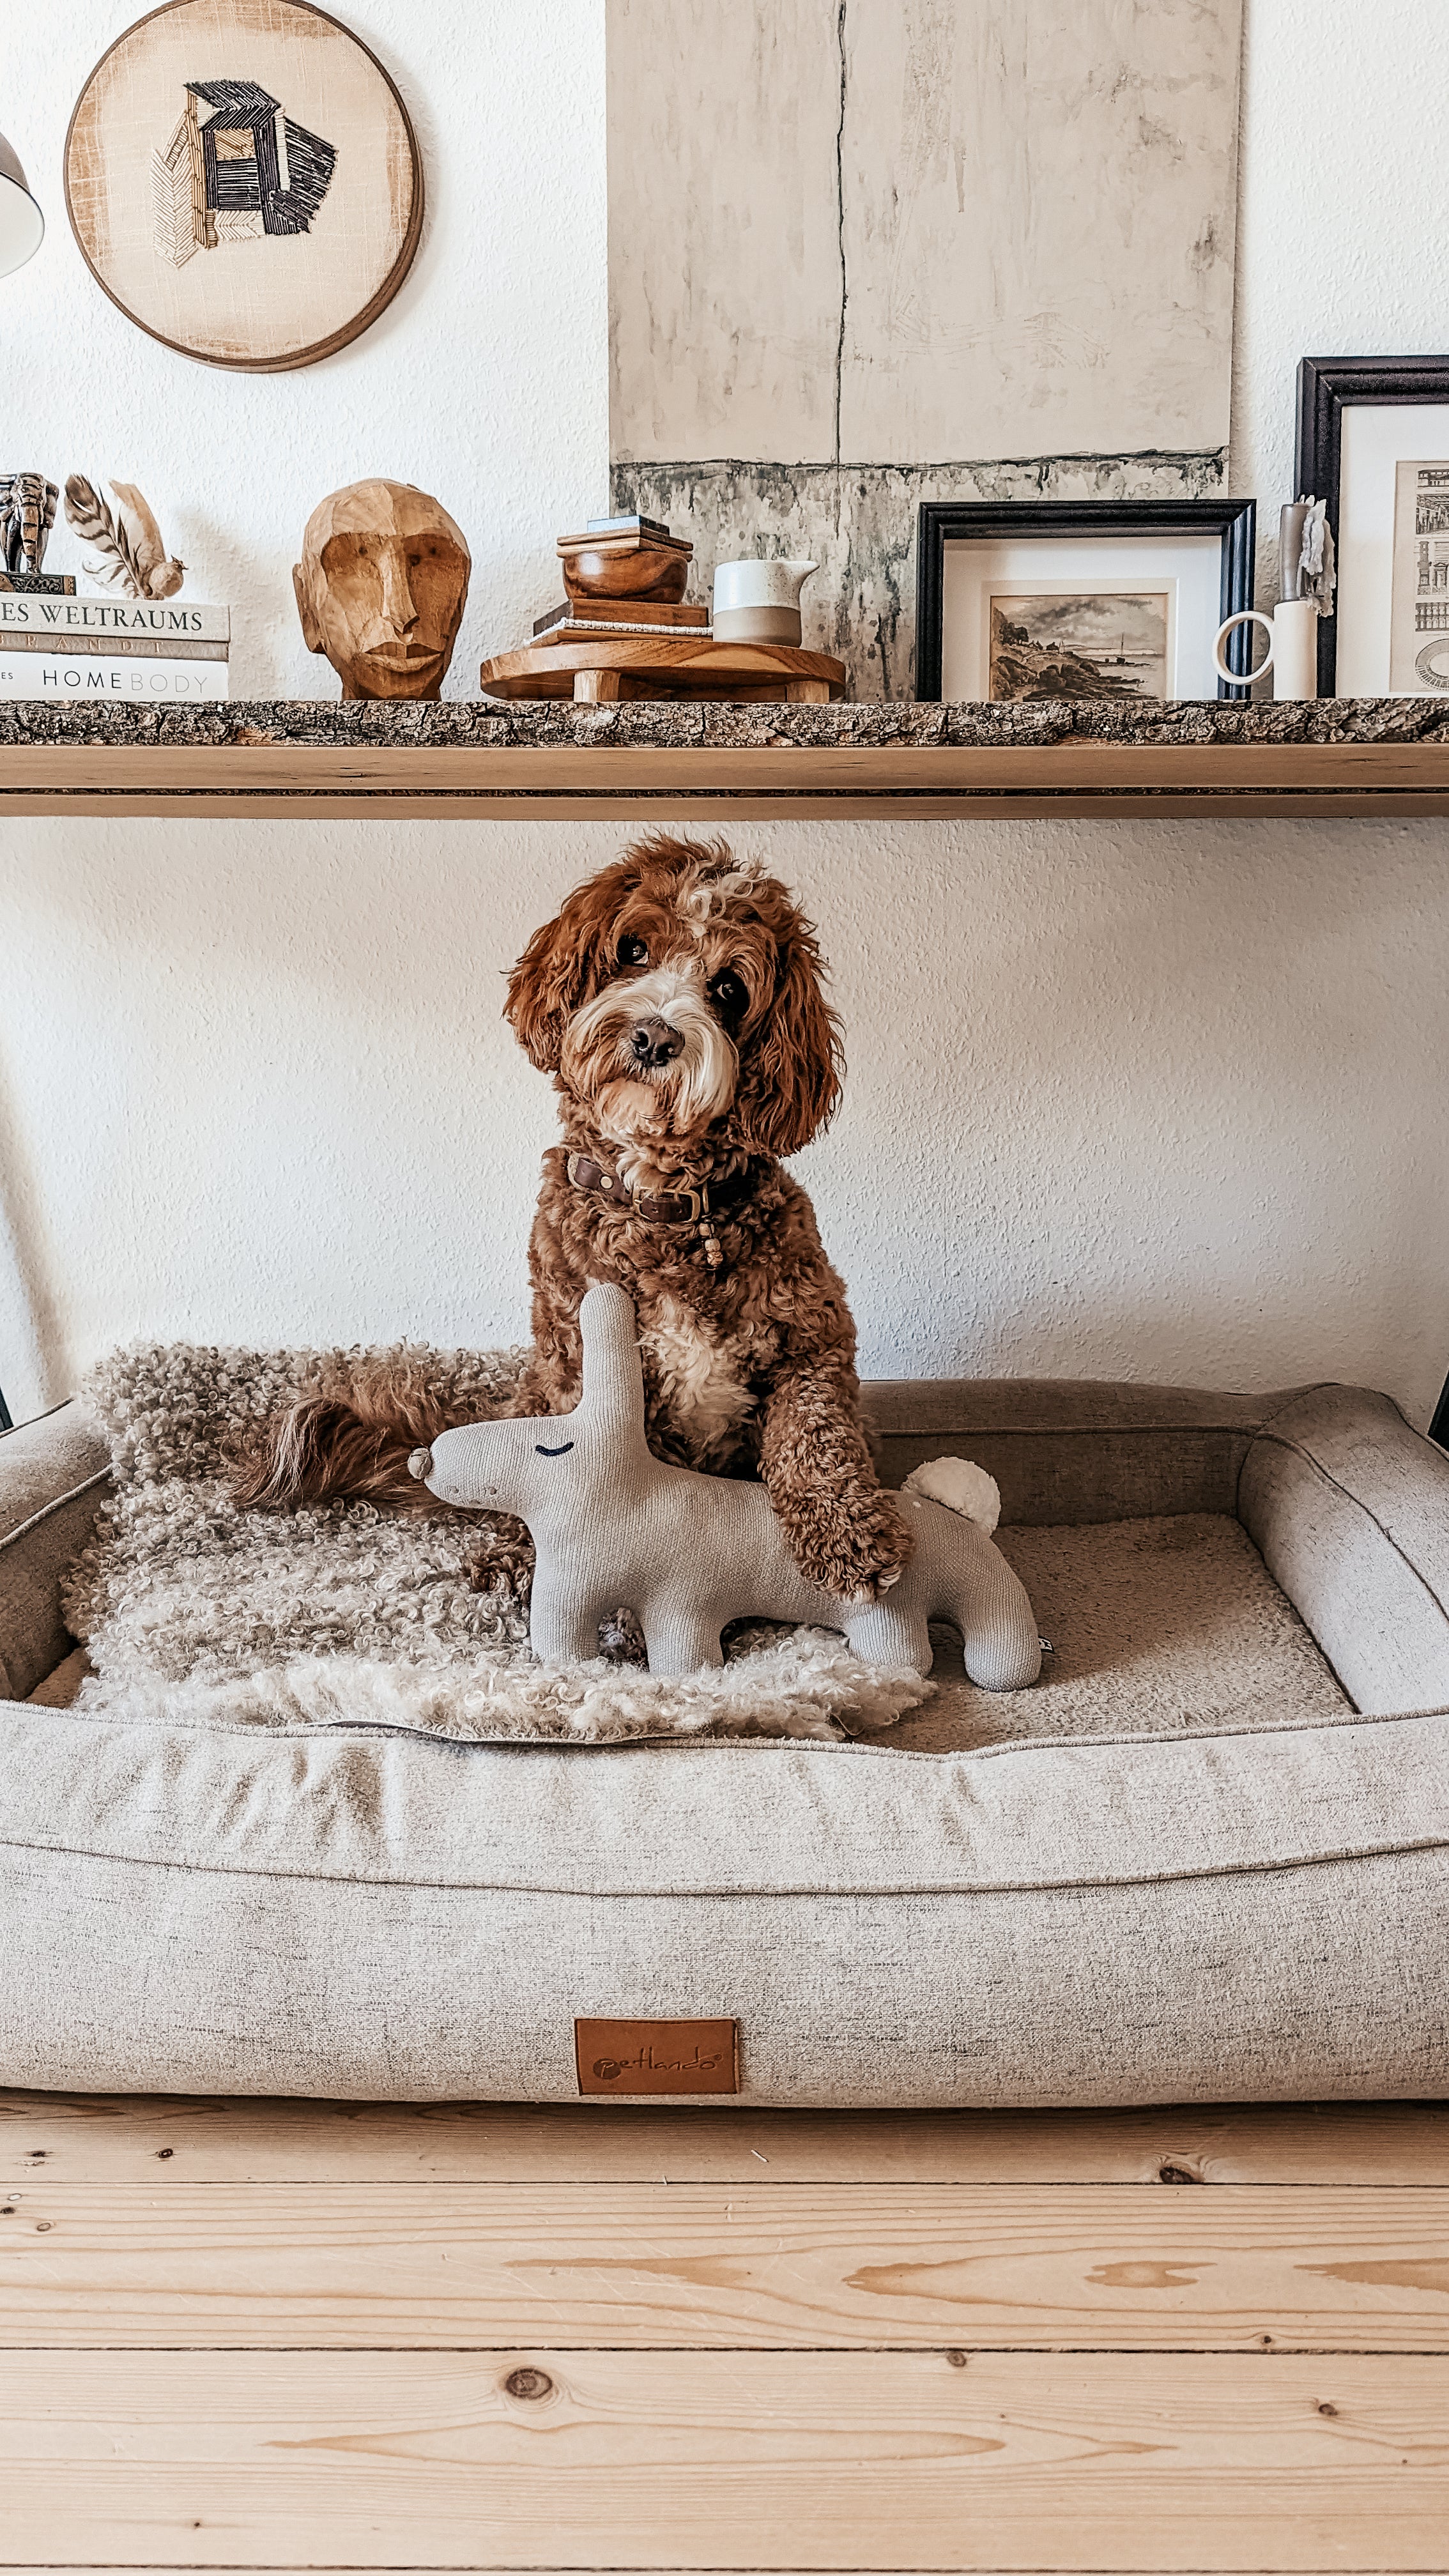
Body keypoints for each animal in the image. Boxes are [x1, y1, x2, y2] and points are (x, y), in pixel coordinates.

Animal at [238, 839, 912, 1607]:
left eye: (729, 989)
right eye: (634, 949)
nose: (653, 1037)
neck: (661, 1202)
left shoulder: (811, 1339)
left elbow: (816, 1438)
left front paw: (851, 1537)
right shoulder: (581, 1361)